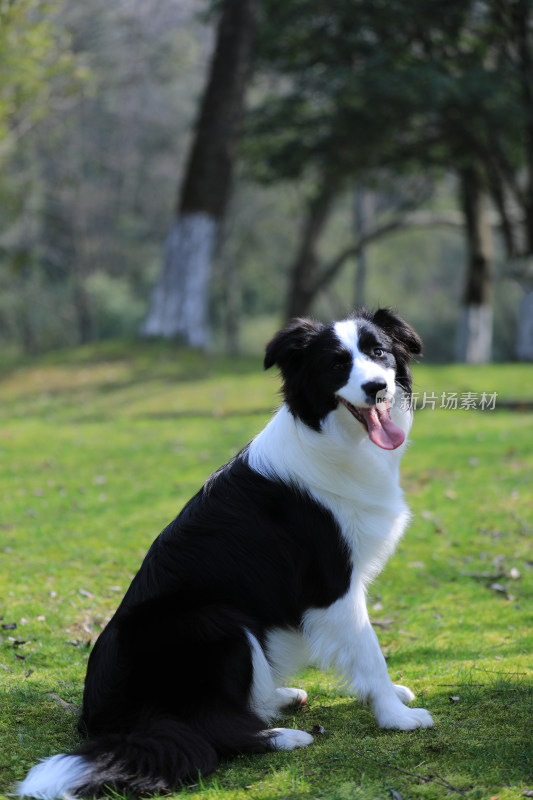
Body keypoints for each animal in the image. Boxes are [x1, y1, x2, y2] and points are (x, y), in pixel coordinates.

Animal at [17, 308, 432, 800]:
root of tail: (101, 719)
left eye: (379, 352)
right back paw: (282, 736)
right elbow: (369, 651)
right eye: (336, 364)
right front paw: (396, 717)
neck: (334, 440)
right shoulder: (332, 586)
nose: (376, 387)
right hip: (214, 621)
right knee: (213, 727)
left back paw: (274, 698)